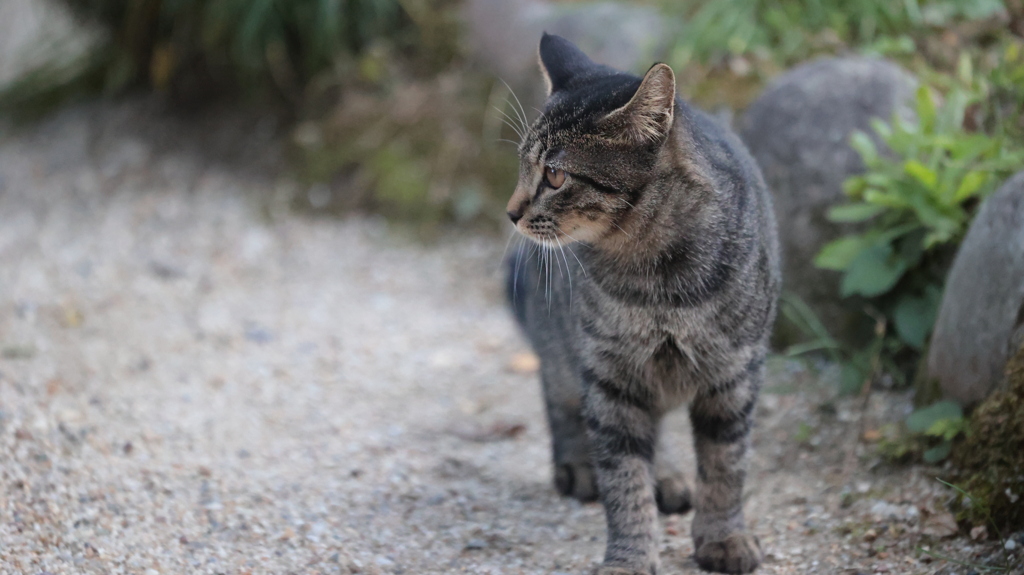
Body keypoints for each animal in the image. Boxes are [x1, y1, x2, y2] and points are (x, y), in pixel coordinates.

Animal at [505, 33, 782, 568]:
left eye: (554, 176)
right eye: (522, 167)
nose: (510, 212)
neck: (657, 282)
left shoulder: (735, 375)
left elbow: (726, 466)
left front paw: (724, 537)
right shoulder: (609, 377)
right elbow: (623, 476)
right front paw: (629, 557)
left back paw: (670, 475)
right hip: (565, 348)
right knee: (558, 393)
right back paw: (579, 464)